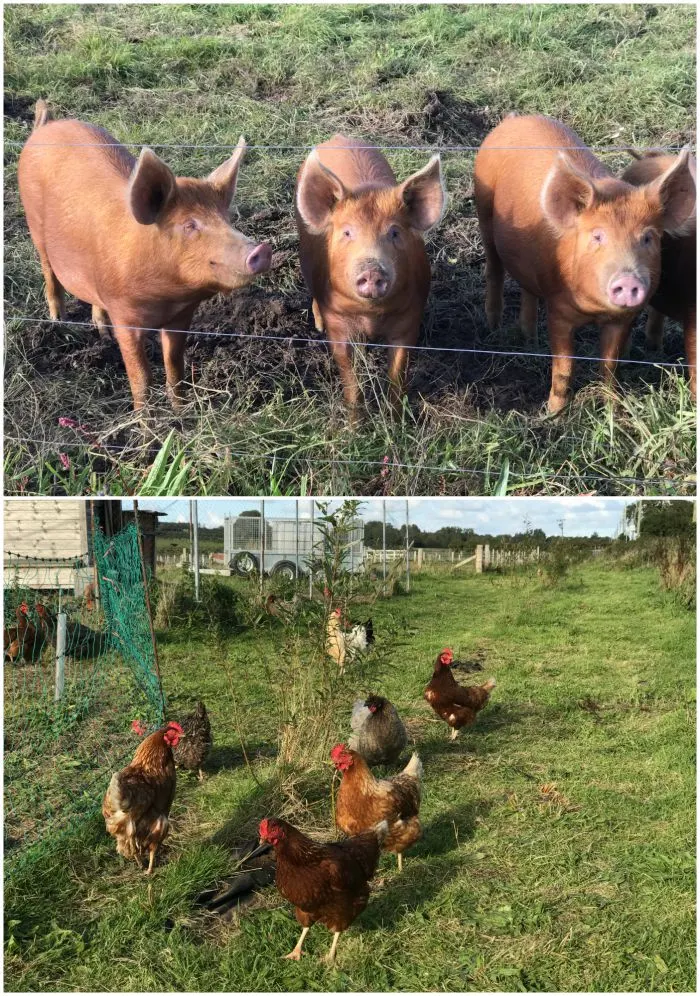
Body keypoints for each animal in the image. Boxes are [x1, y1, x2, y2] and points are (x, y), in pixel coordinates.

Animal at [18, 100, 272, 411]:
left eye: (227, 218)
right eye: (189, 225)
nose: (261, 248)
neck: (166, 297)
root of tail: (48, 125)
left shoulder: (181, 315)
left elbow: (175, 366)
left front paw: (180, 410)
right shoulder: (125, 316)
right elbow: (141, 379)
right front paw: (147, 422)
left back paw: (103, 335)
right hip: (35, 228)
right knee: (49, 273)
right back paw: (59, 323)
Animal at [295, 135, 446, 417]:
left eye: (395, 232)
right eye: (347, 232)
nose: (372, 269)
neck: (371, 315)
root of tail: (339, 137)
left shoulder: (409, 318)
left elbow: (398, 374)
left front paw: (395, 420)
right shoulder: (338, 322)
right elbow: (350, 378)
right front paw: (354, 423)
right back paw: (317, 325)